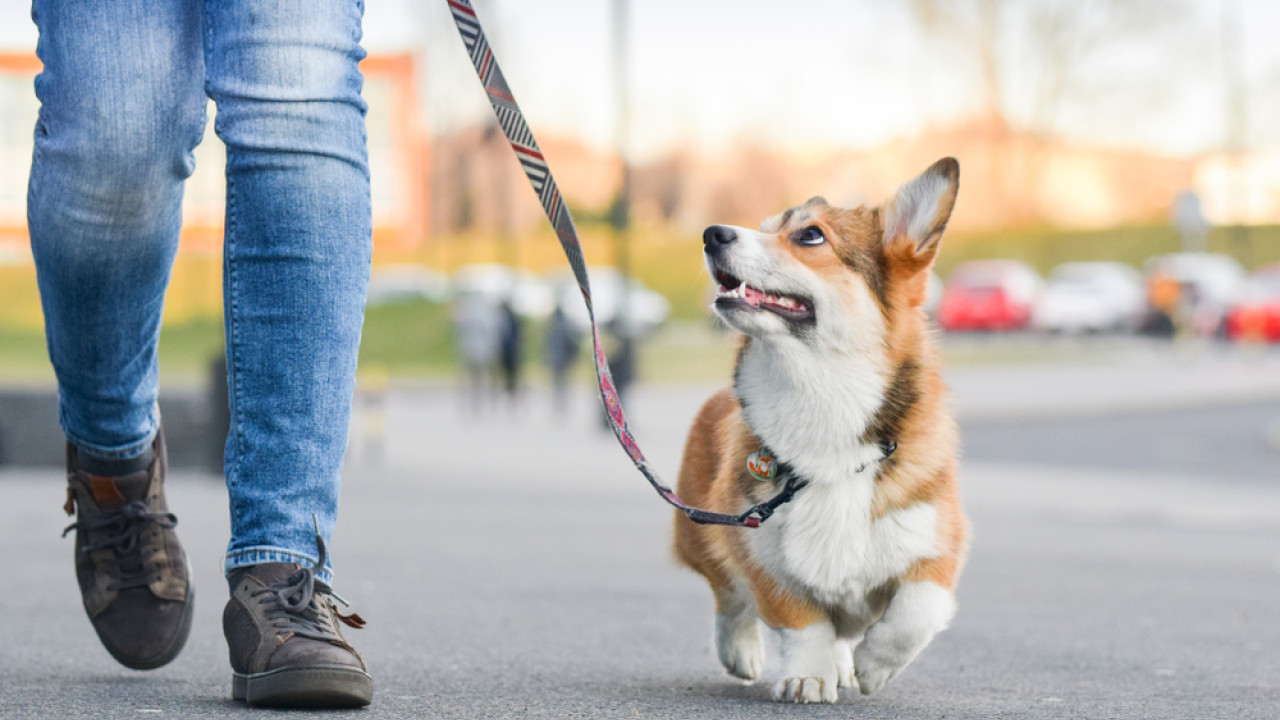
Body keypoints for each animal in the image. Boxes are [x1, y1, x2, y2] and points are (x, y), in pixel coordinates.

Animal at [675, 156, 962, 702]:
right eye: (765, 227)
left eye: (810, 235)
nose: (712, 233)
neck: (822, 396)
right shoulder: (758, 546)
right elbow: (802, 621)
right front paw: (808, 674)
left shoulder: (936, 542)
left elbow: (918, 610)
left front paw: (874, 665)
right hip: (700, 530)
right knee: (728, 596)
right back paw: (741, 651)